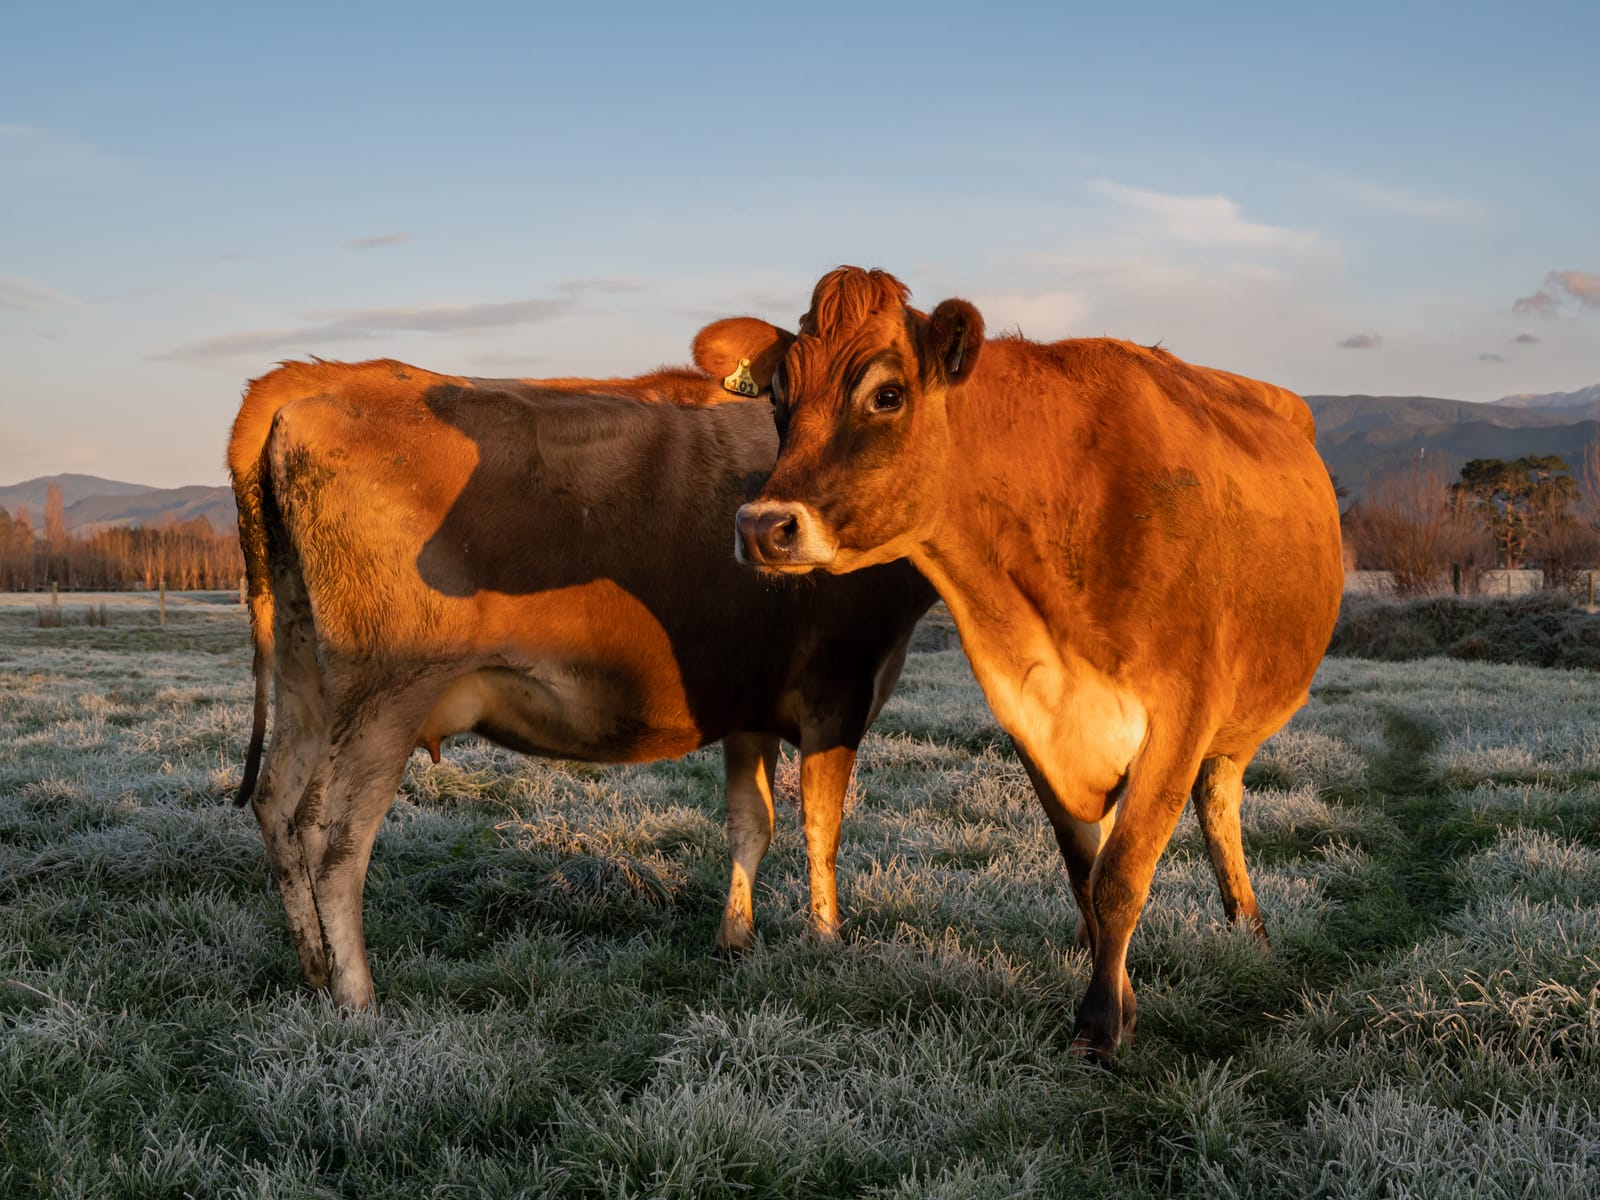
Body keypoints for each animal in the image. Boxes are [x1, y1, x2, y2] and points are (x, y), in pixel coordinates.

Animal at [224, 320, 928, 1017]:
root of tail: (324, 374)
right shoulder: (840, 684)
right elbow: (821, 827)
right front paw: (827, 946)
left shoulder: (749, 698)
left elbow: (752, 822)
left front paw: (736, 940)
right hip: (387, 690)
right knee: (333, 835)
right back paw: (357, 999)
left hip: (303, 666)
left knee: (277, 800)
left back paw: (316, 972)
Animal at [732, 265, 1344, 1062]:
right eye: (779, 396)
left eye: (887, 394)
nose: (761, 526)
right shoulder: (1028, 712)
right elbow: (1084, 869)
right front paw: (1121, 998)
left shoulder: (1181, 714)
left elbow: (1122, 874)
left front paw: (1100, 1026)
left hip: (1233, 721)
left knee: (1219, 799)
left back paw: (1250, 929)